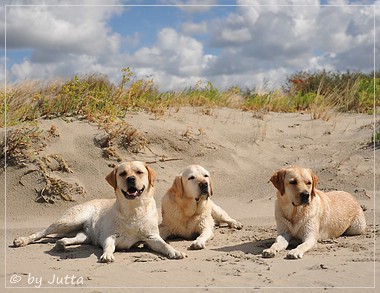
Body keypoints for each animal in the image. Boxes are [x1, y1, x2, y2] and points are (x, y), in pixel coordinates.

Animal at [14, 161, 186, 262]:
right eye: (122, 173)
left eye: (139, 172)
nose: (130, 179)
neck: (134, 210)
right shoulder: (109, 236)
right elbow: (109, 246)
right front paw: (107, 255)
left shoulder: (152, 238)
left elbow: (165, 245)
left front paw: (175, 252)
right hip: (69, 221)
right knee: (42, 233)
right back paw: (22, 240)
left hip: (84, 235)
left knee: (71, 238)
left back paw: (62, 243)